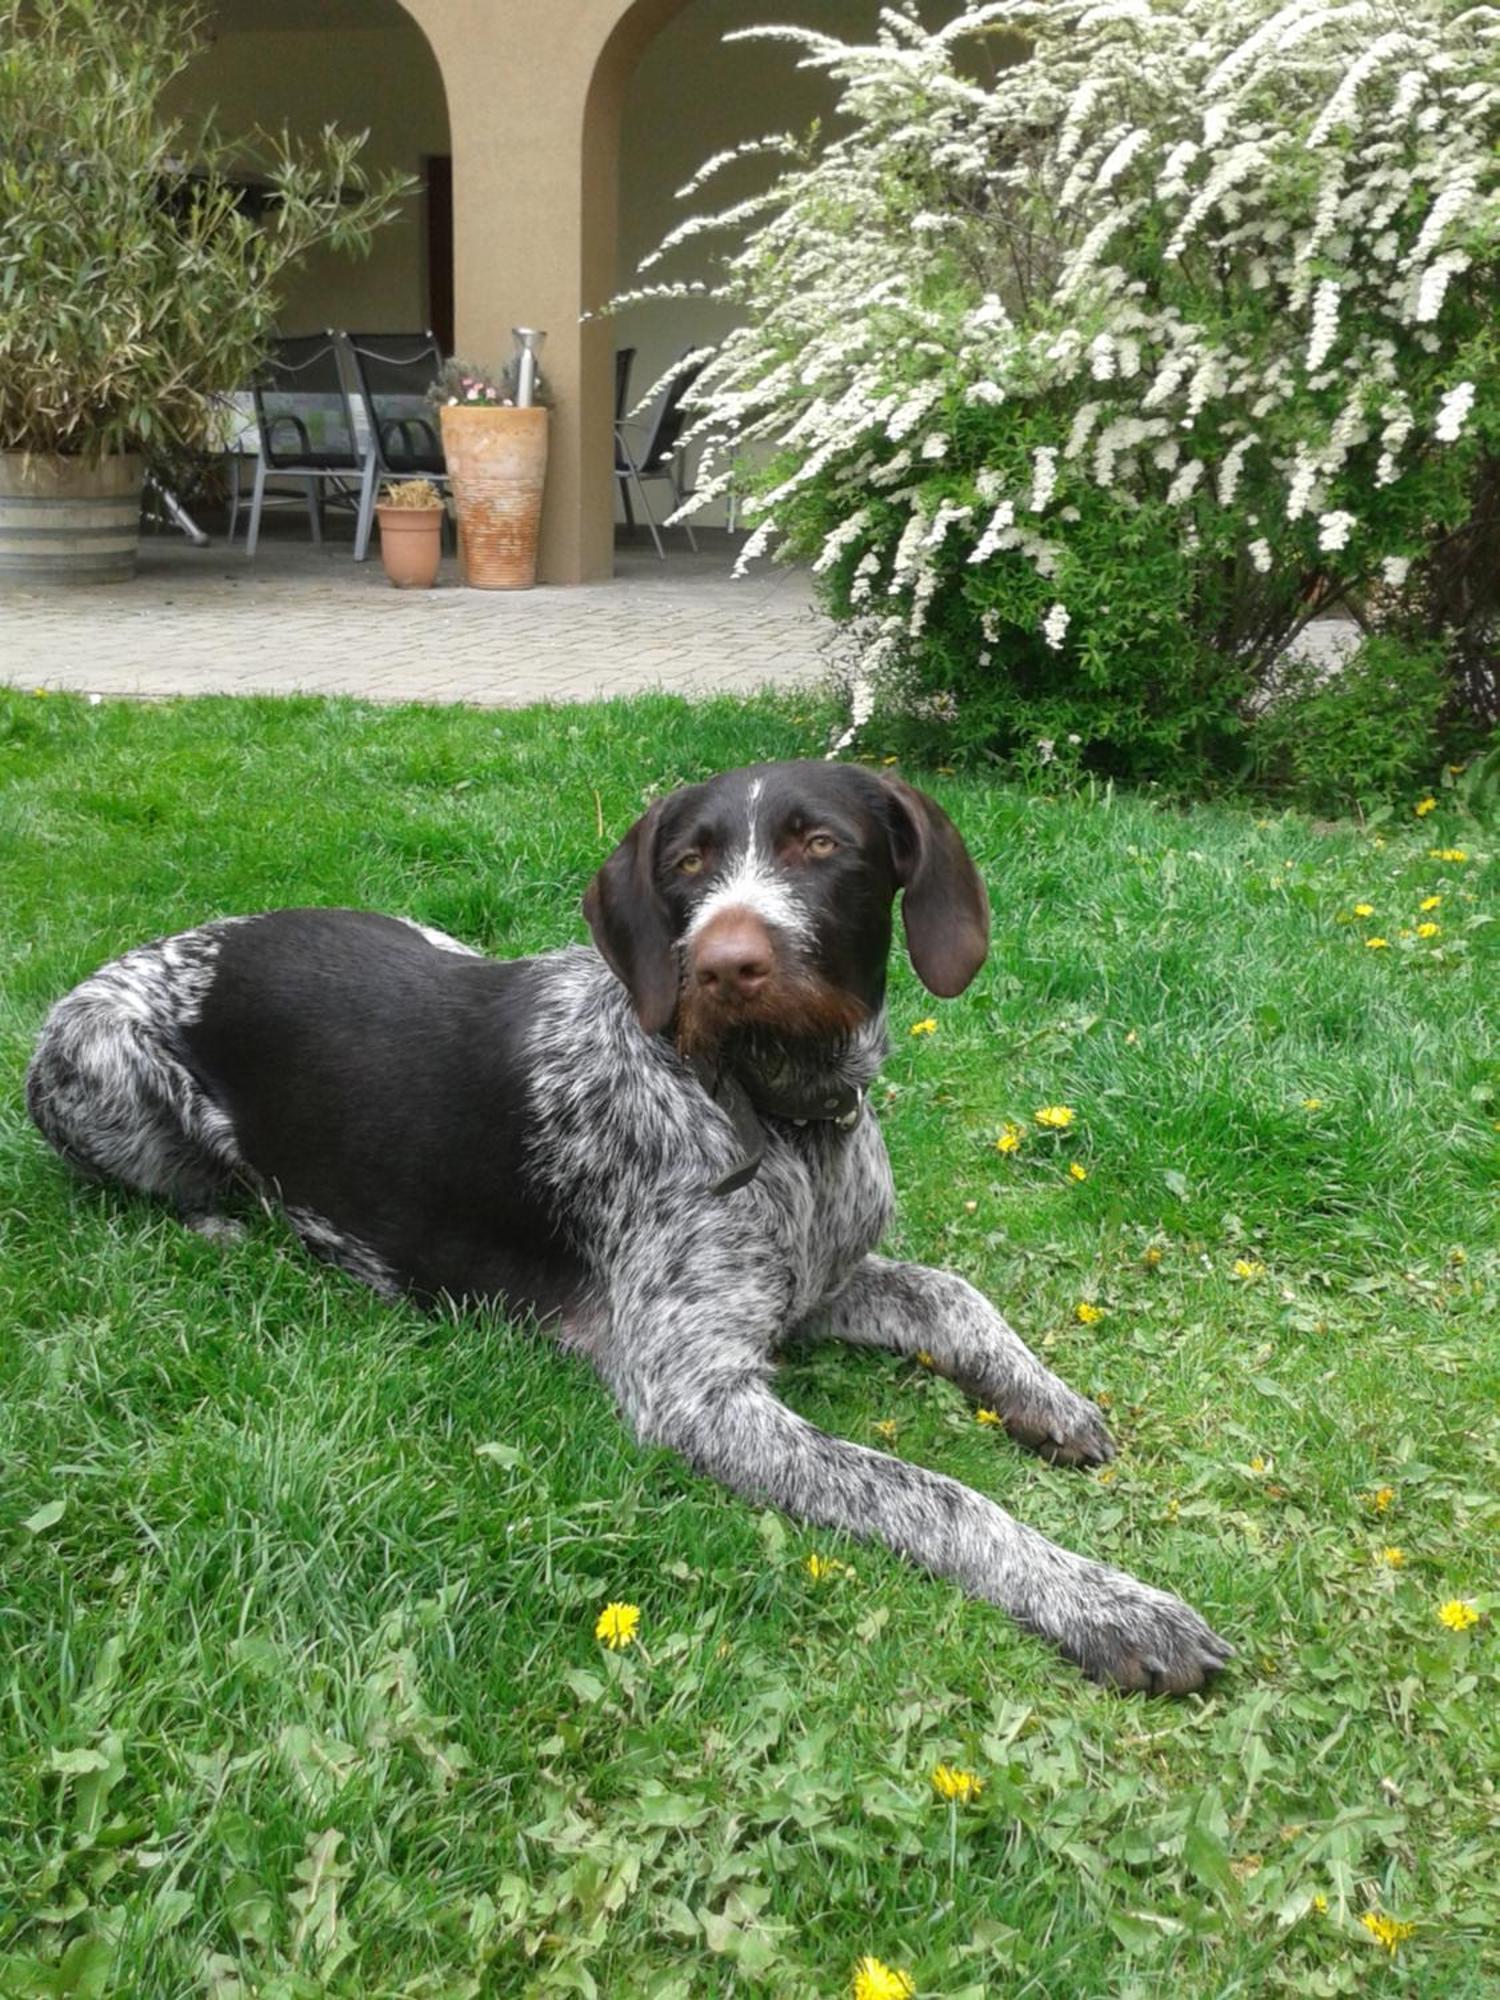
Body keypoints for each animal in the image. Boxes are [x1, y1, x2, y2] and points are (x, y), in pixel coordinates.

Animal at [29, 760, 1232, 1688]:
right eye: (686, 865)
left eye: (821, 844)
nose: (725, 962)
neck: (780, 1114)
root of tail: (153, 949)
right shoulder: (697, 1393)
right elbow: (933, 1492)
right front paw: (1106, 1603)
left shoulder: (817, 1287)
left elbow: (953, 1292)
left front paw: (1044, 1397)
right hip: (97, 1062)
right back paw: (243, 1227)